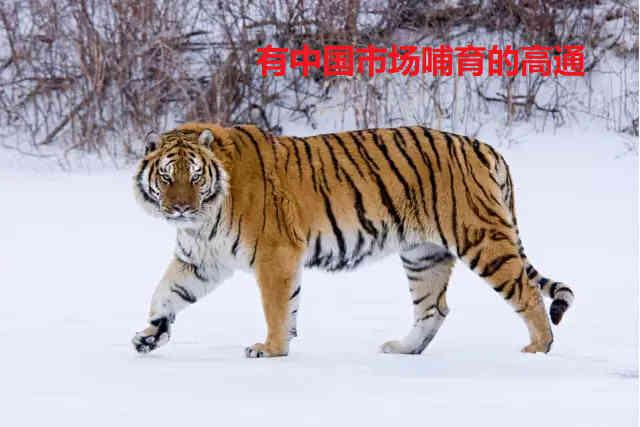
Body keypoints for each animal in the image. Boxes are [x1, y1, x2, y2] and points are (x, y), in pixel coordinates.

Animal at [132, 122, 574, 358]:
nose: (180, 208)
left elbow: (276, 308)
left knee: (526, 293)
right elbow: (165, 293)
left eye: (195, 176)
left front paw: (271, 349)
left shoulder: (275, 255)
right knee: (434, 308)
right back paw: (403, 349)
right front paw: (150, 335)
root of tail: (484, 147)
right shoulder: (200, 260)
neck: (202, 220)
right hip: (423, 254)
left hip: (481, 239)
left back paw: (538, 349)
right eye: (167, 176)